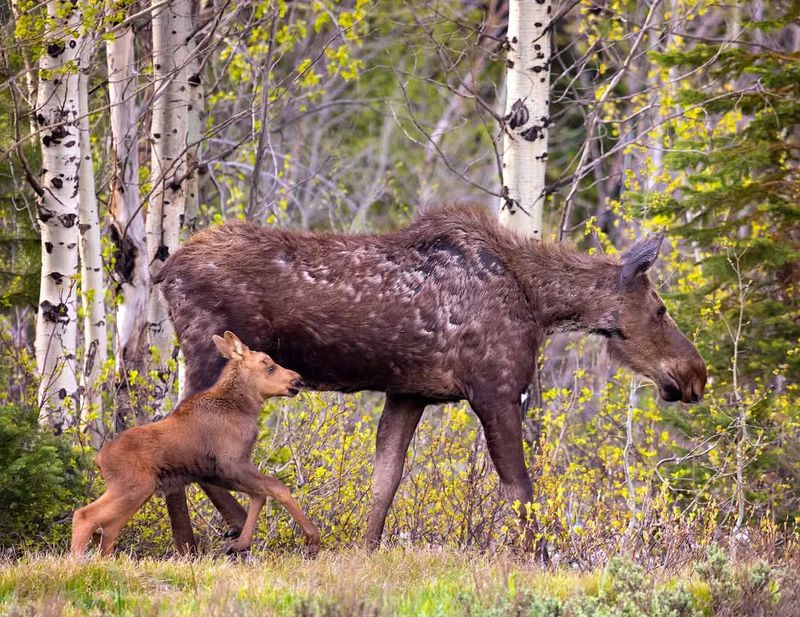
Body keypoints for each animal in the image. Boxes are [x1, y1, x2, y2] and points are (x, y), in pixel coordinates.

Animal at [69, 332, 318, 560]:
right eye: (270, 367)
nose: (298, 380)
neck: (244, 408)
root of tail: (98, 460)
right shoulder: (233, 463)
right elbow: (277, 488)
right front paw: (312, 537)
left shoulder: (214, 473)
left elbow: (259, 495)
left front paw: (239, 543)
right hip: (133, 487)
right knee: (84, 516)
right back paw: (77, 564)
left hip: (136, 492)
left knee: (108, 531)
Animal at [156, 203, 708, 552]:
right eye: (660, 309)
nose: (695, 375)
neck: (540, 303)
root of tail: (164, 273)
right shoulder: (494, 388)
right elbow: (520, 488)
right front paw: (541, 559)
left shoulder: (409, 392)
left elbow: (385, 480)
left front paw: (364, 550)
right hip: (209, 353)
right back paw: (219, 535)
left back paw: (202, 539)